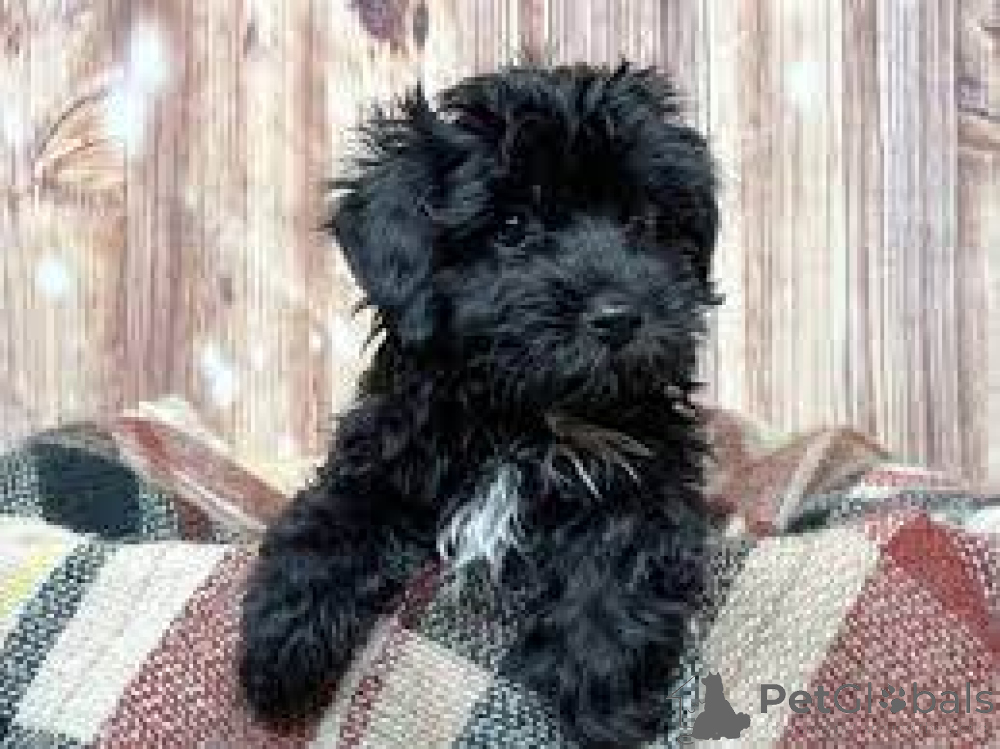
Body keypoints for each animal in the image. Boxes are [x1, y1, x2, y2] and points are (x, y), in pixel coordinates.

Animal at [239, 62, 721, 747]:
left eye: (645, 224)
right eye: (513, 227)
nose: (619, 316)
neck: (521, 417)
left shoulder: (650, 472)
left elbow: (619, 551)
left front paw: (603, 690)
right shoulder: (381, 454)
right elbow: (329, 517)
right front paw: (281, 639)